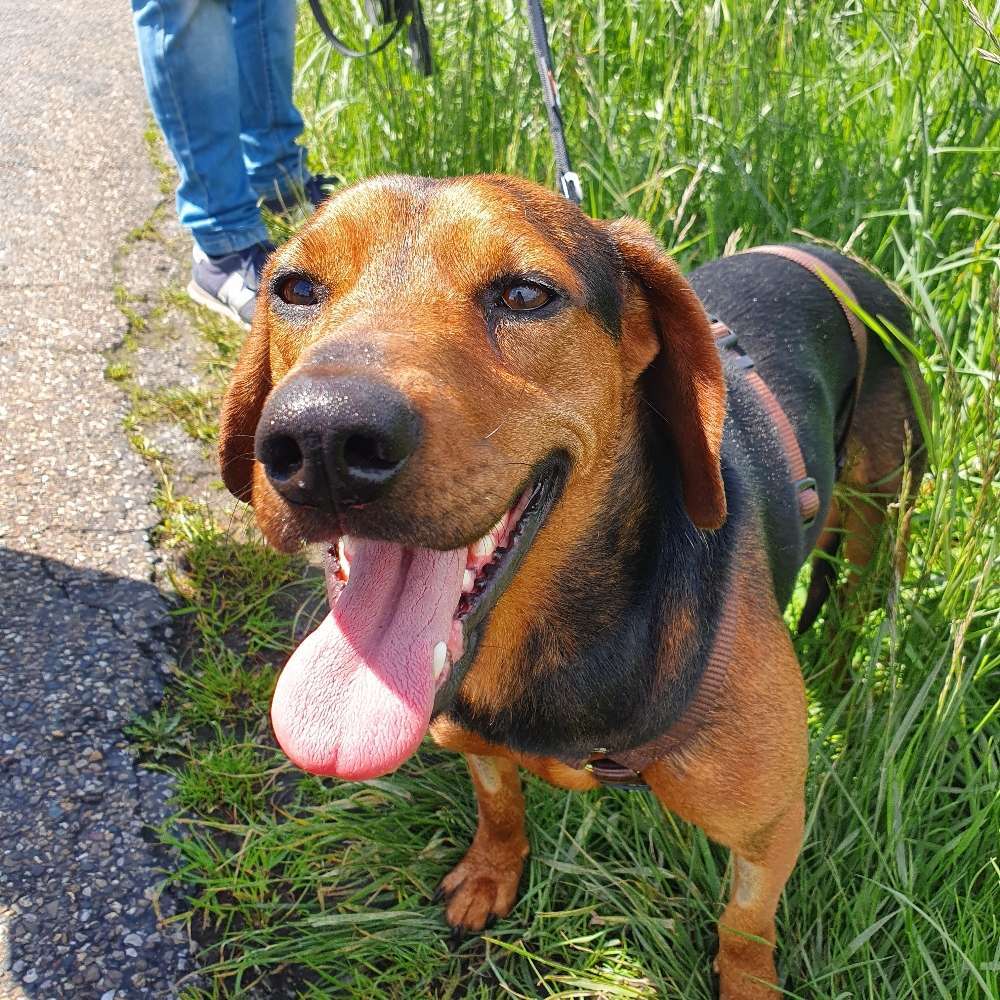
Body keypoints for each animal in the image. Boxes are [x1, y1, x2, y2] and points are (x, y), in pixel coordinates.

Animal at [217, 176, 920, 996]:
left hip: (881, 513)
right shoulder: (476, 742)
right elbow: (499, 807)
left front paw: (747, 981)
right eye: (295, 288)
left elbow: (746, 925)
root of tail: (836, 256)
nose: (321, 440)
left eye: (526, 294)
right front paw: (491, 875)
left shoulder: (769, 828)